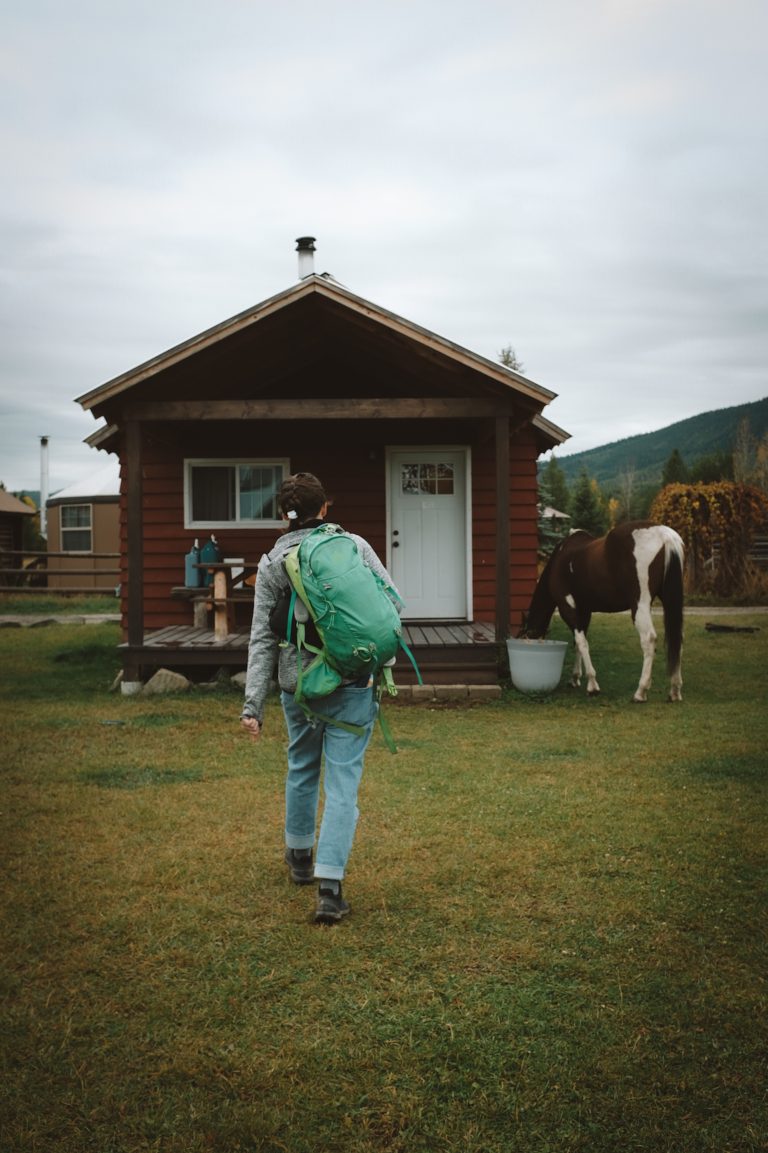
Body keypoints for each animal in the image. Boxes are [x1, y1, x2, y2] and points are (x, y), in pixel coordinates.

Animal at [521, 523, 682, 701]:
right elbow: (578, 642)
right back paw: (674, 690)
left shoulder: (568, 608)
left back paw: (640, 692)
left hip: (640, 605)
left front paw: (592, 685)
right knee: (677, 639)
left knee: (649, 639)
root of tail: (665, 536)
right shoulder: (584, 611)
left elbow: (581, 642)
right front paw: (575, 678)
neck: (560, 558)